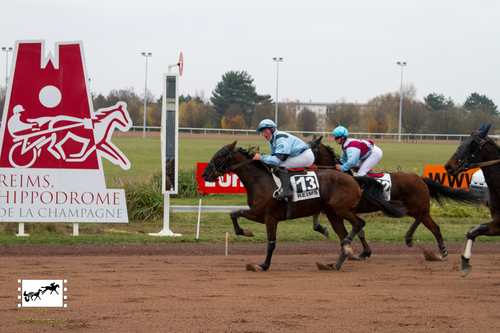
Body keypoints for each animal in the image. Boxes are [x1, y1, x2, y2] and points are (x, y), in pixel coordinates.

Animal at [200, 140, 406, 270]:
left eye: (220, 155)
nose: (205, 174)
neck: (260, 181)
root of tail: (354, 179)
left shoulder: (270, 217)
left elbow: (271, 243)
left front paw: (263, 265)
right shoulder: (258, 214)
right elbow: (234, 213)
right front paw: (245, 231)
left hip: (343, 209)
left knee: (358, 225)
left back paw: (350, 249)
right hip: (333, 213)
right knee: (345, 233)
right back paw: (336, 263)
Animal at [446, 123, 500, 276]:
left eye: (472, 144)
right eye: (461, 142)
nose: (448, 166)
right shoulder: (498, 223)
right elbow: (473, 231)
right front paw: (465, 261)